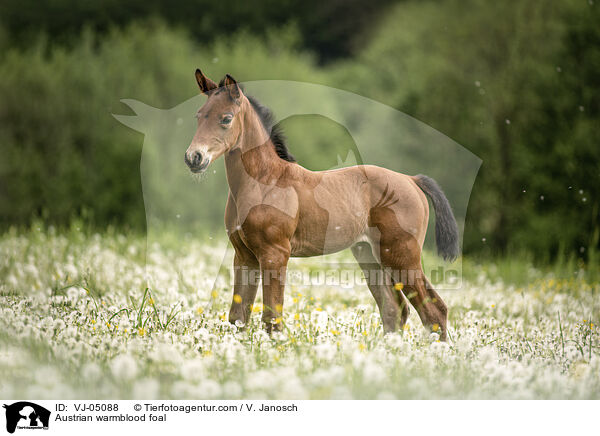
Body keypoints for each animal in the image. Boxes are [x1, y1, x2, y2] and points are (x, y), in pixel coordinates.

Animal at [185, 70, 458, 340]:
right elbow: (238, 318)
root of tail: (411, 180)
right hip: (370, 255)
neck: (265, 181)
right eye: (198, 115)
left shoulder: (274, 253)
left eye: (226, 118)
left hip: (403, 256)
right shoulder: (244, 255)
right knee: (394, 308)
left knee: (434, 310)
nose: (193, 158)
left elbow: (272, 319)